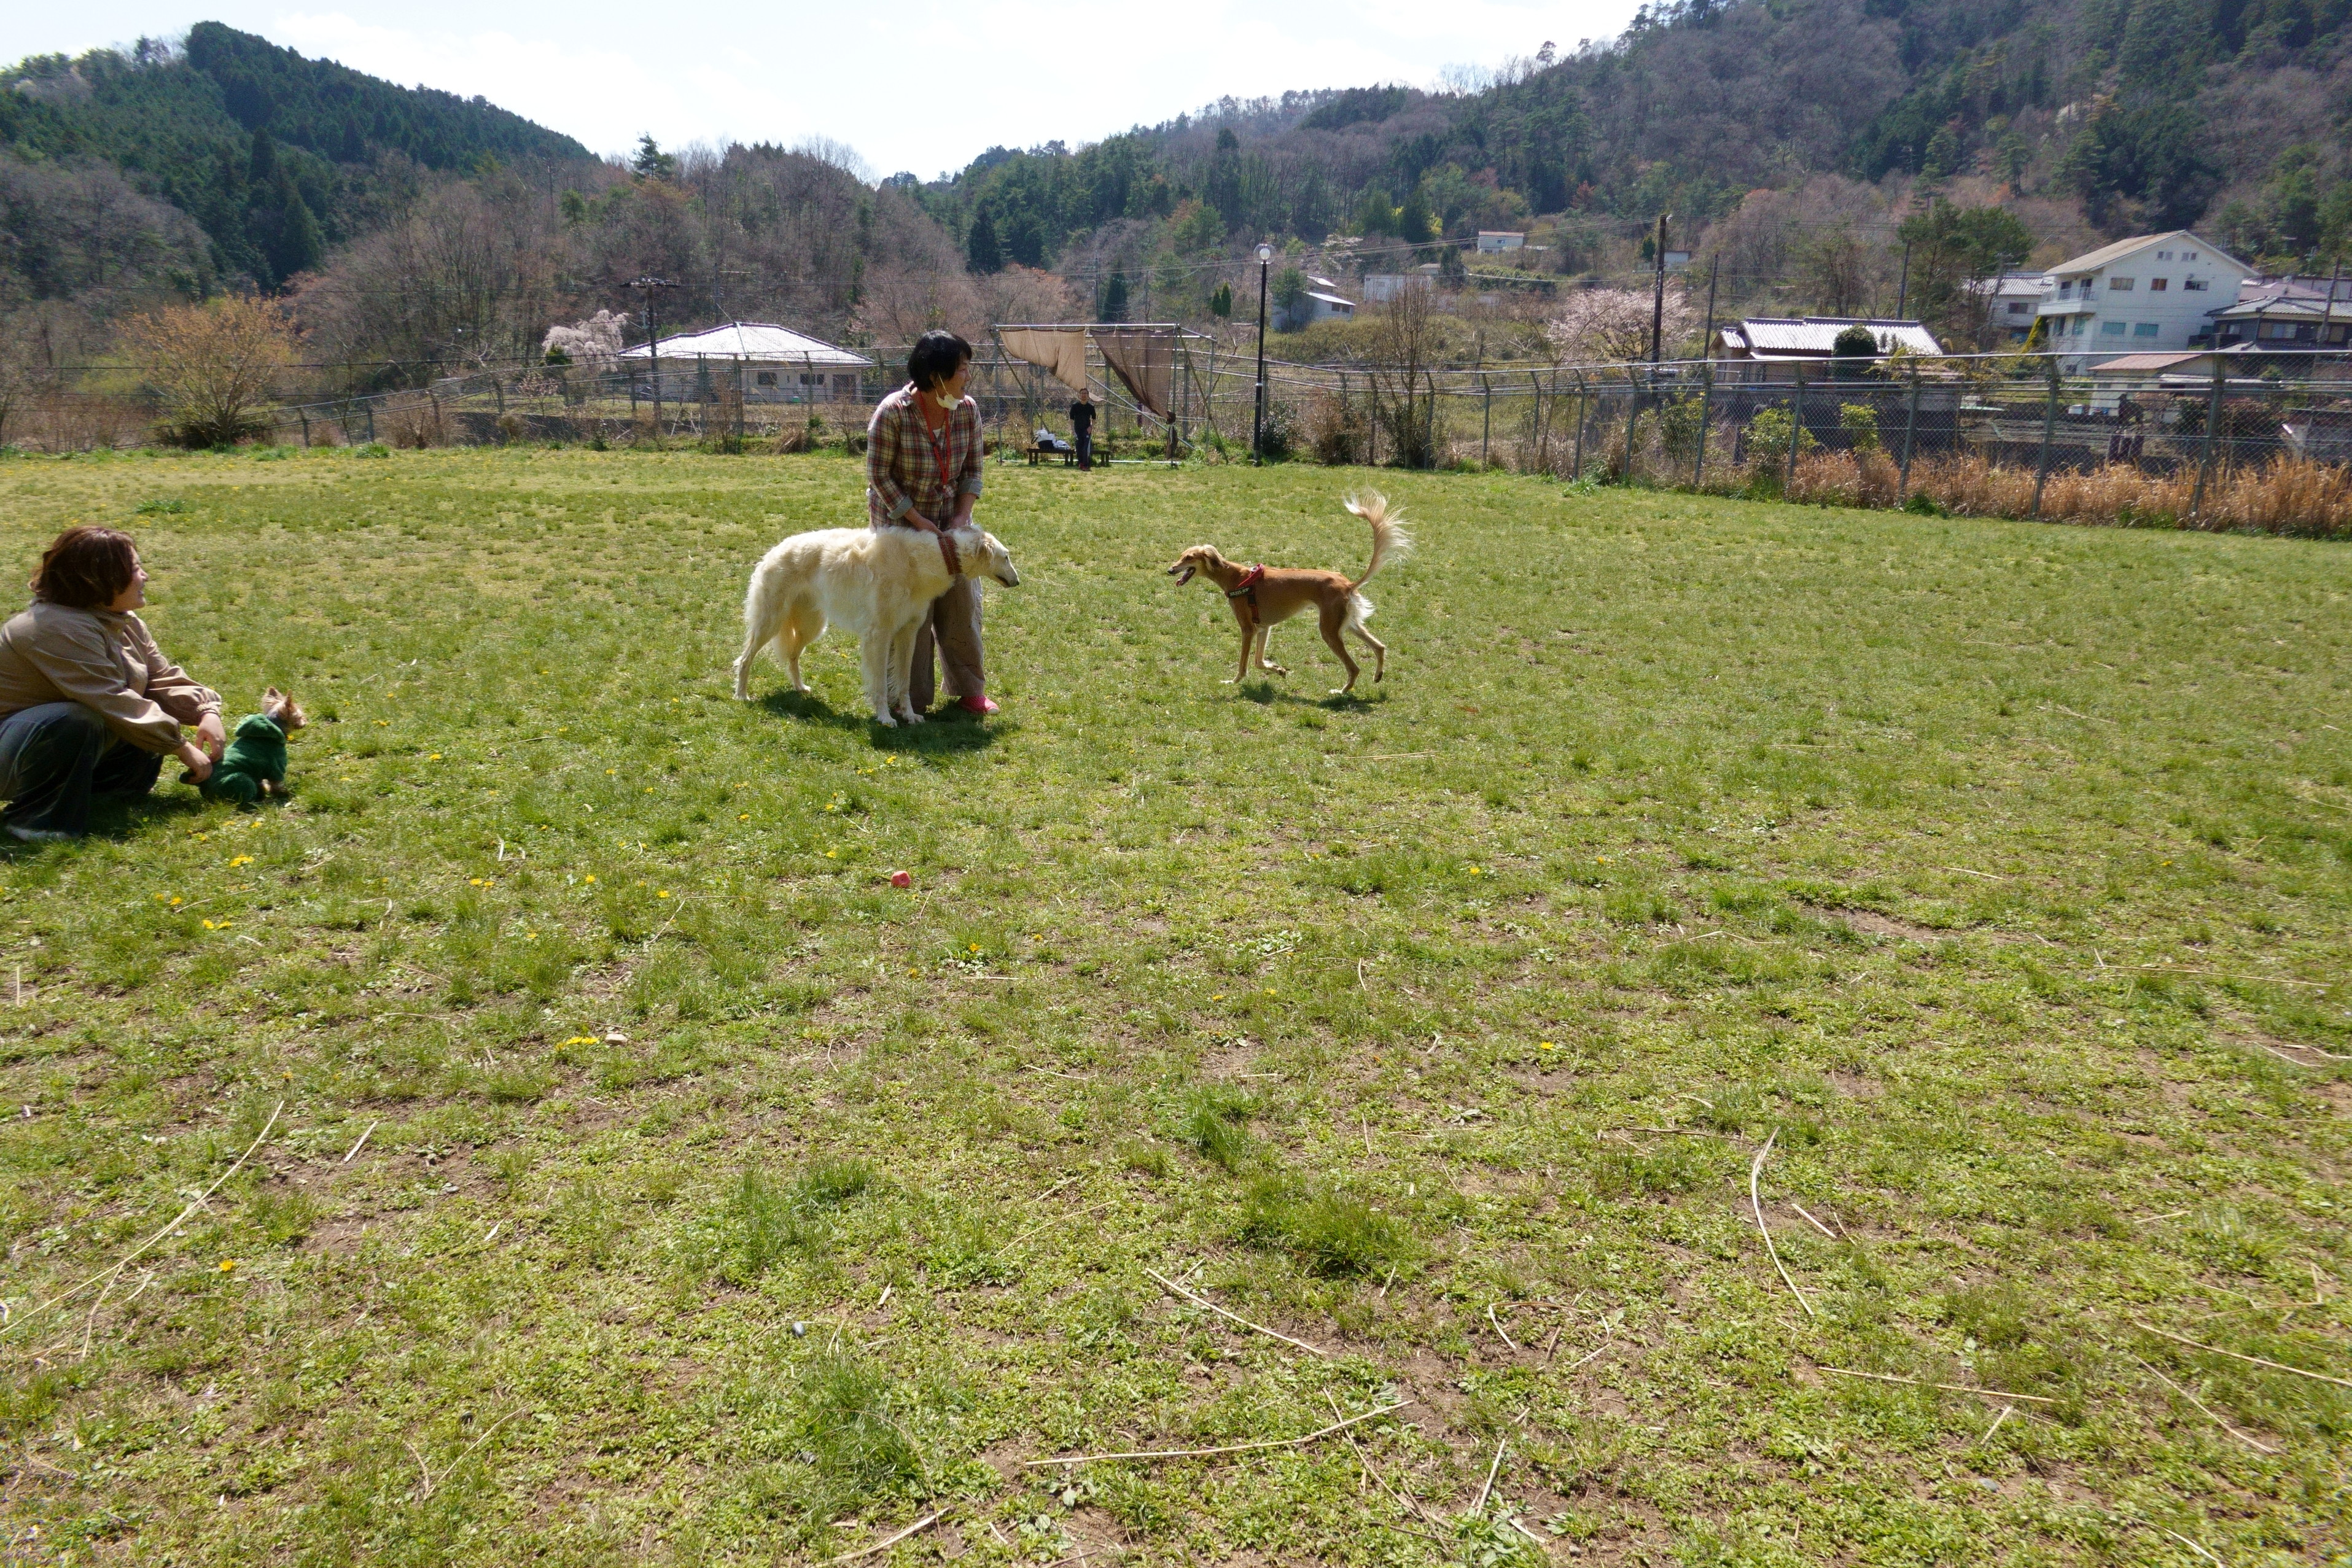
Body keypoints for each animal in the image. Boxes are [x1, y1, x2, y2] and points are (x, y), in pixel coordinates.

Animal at [196, 691, 305, 809]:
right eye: (300, 716)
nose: (306, 721)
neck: (273, 727)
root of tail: (206, 791)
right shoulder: (277, 767)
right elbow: (278, 784)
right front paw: (284, 794)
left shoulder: (258, 772)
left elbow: (261, 784)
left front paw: (265, 790)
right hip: (240, 780)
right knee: (241, 802)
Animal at [724, 524, 1021, 729]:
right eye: (1006, 557)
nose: (1017, 582)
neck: (926, 558)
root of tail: (774, 550)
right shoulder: (879, 635)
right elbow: (879, 684)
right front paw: (885, 718)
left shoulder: (908, 633)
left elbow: (903, 682)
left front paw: (910, 715)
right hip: (770, 621)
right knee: (745, 659)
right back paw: (742, 695)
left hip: (811, 625)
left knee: (792, 657)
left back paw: (800, 688)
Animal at [1162, 486, 1401, 691]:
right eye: (1181, 556)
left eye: (1189, 558)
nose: (1170, 570)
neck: (1234, 576)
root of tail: (1347, 584)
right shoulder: (1263, 627)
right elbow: (1258, 662)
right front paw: (1278, 669)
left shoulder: (1248, 629)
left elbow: (1244, 664)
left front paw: (1234, 681)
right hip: (1347, 623)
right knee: (1379, 647)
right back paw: (1377, 675)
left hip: (1329, 630)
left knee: (1354, 667)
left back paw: (1341, 692)